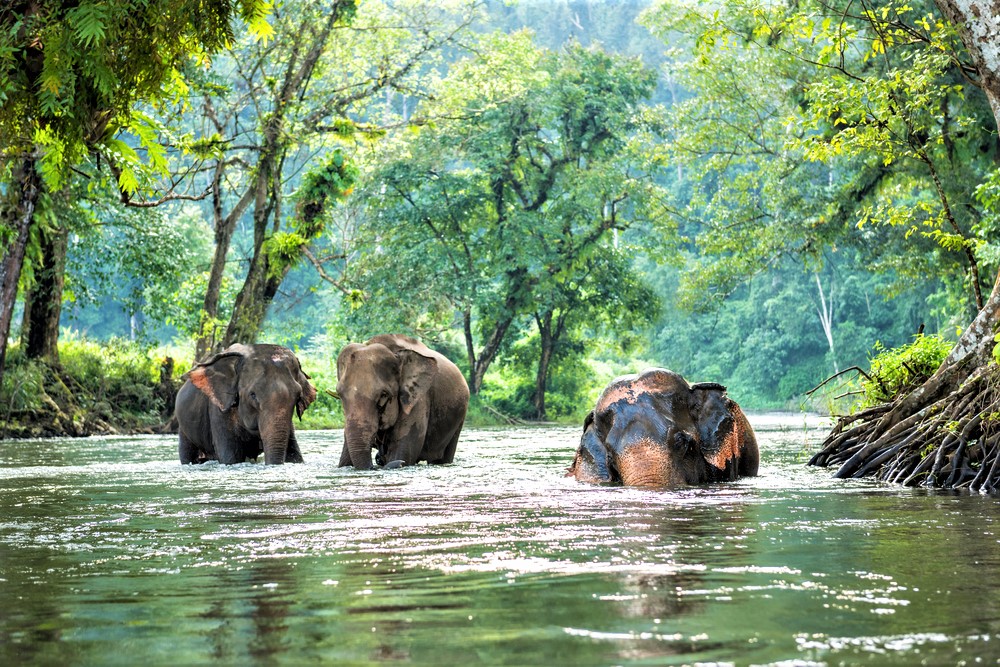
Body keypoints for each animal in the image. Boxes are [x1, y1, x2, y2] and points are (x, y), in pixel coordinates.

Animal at [174, 344, 316, 464]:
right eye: (252, 394)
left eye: (298, 395)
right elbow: (231, 458)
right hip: (184, 426)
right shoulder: (219, 410)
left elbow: (295, 454)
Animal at [336, 334, 468, 470]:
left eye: (383, 395)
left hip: (459, 419)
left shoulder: (418, 399)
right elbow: (344, 460)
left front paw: (399, 460)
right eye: (339, 394)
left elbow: (403, 450)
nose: (378, 460)